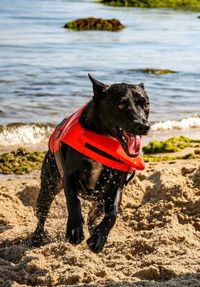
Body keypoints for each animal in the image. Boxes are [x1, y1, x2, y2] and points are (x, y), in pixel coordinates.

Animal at [31, 75, 150, 254]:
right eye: (121, 104)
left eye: (146, 104)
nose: (143, 126)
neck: (104, 137)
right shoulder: (69, 176)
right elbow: (73, 202)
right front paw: (74, 229)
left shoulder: (116, 185)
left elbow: (112, 213)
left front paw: (99, 237)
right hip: (49, 185)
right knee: (42, 214)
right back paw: (37, 238)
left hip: (99, 200)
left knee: (92, 216)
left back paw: (94, 230)